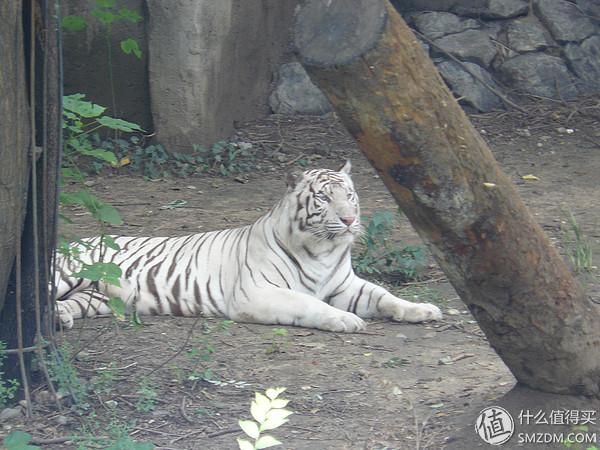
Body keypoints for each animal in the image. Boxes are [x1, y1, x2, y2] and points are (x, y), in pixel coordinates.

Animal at [55, 162, 440, 330]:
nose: (348, 220)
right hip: (66, 273)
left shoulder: (347, 285)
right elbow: (307, 302)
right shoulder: (257, 292)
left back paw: (61, 318)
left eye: (350, 195)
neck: (323, 251)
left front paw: (422, 310)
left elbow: (386, 296)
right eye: (323, 198)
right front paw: (345, 320)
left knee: (67, 305)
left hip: (97, 298)